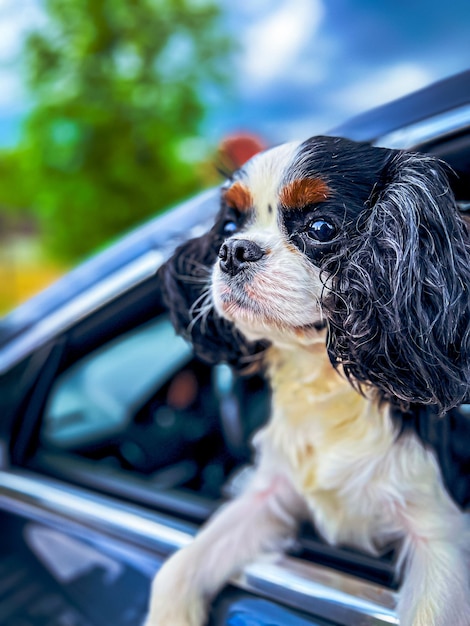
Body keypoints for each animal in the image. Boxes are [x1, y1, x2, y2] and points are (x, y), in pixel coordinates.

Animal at [147, 138, 470, 624]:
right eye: (229, 226)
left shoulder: (440, 535)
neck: (324, 379)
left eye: (321, 227)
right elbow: (179, 566)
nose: (233, 250)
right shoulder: (270, 496)